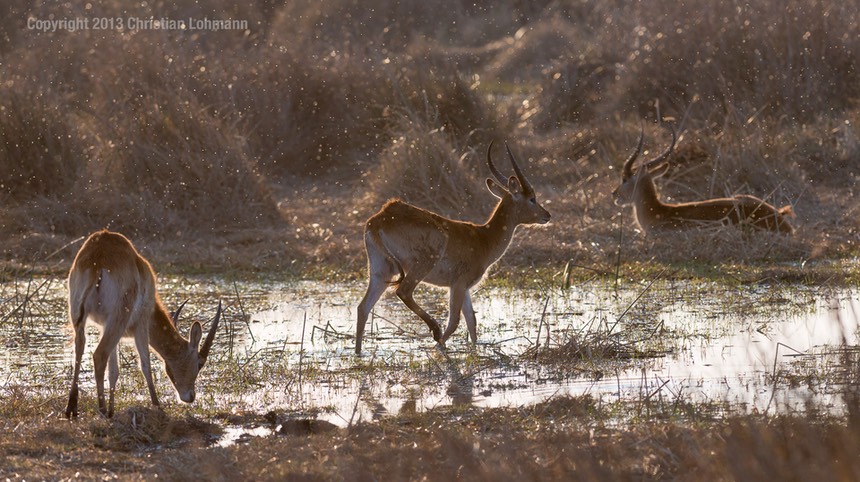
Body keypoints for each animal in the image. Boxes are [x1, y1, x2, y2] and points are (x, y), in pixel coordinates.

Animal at [67, 230, 222, 418]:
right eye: (199, 363)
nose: (190, 397)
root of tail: (98, 258)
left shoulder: (105, 326)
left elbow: (114, 370)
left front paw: (113, 409)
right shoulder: (142, 322)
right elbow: (145, 363)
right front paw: (157, 406)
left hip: (80, 316)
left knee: (80, 347)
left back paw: (72, 408)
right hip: (118, 318)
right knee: (99, 355)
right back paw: (102, 410)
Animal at [354, 141, 552, 352]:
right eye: (532, 198)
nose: (547, 215)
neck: (484, 239)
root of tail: (380, 218)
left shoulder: (464, 287)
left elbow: (472, 321)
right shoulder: (458, 283)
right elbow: (456, 321)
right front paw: (439, 348)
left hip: (381, 271)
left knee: (363, 307)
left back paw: (358, 354)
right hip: (421, 264)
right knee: (403, 291)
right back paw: (435, 330)